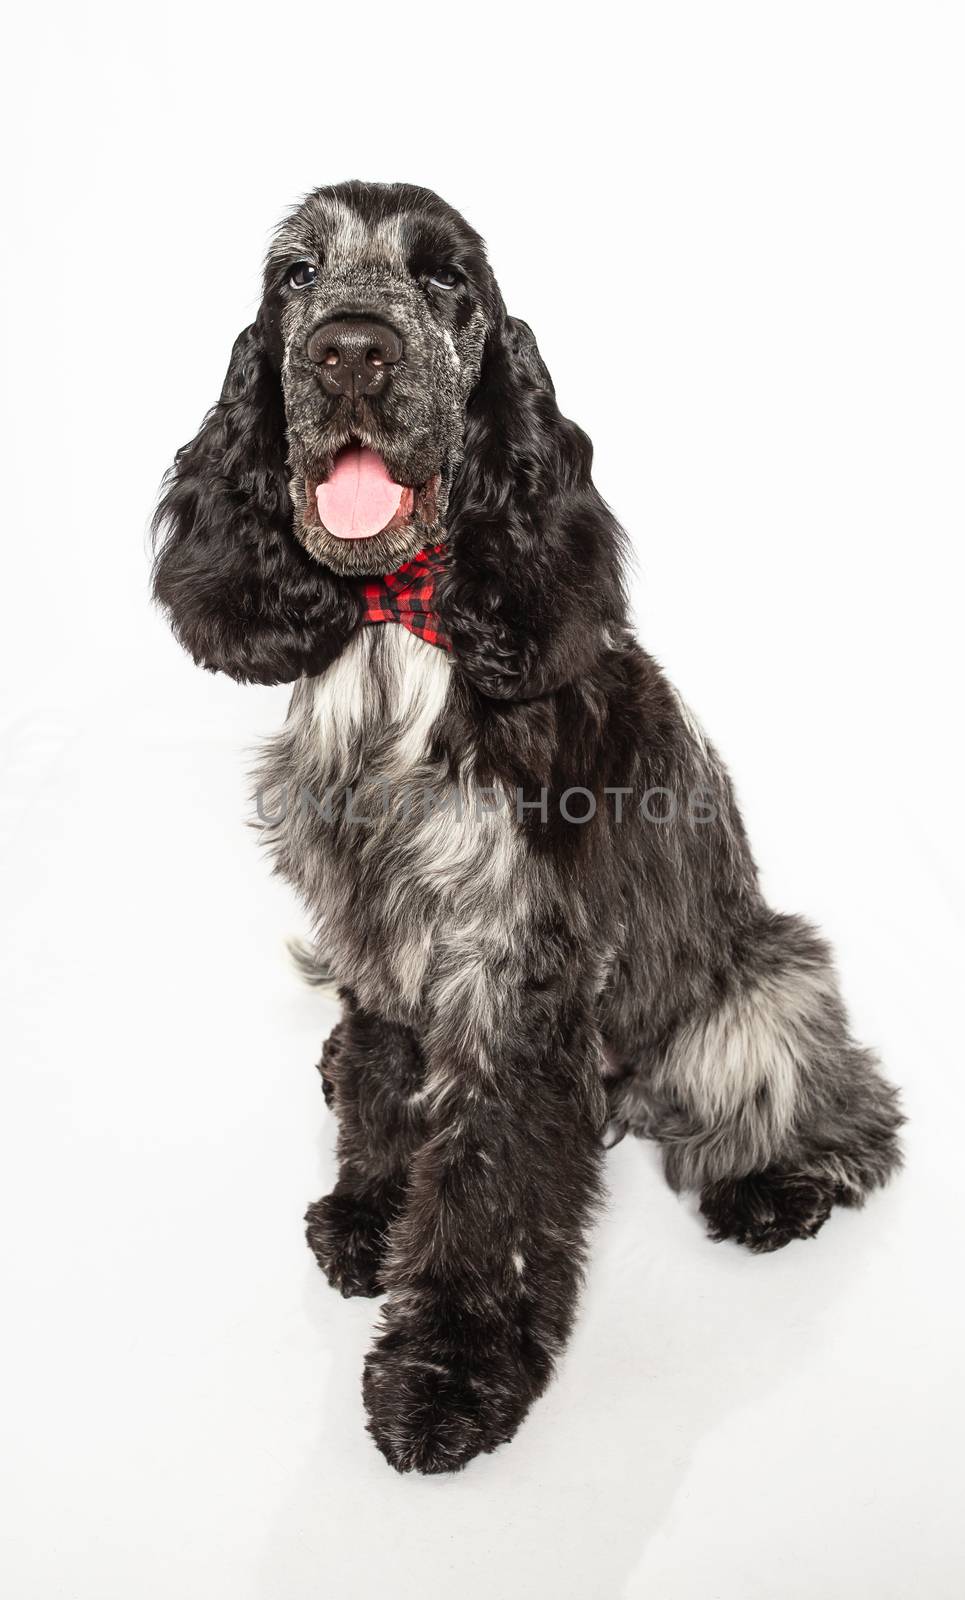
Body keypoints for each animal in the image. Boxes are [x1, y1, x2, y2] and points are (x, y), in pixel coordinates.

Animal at [152, 184, 908, 1472]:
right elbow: (382, 1085)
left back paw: (775, 1186)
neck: (399, 633)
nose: (351, 350)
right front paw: (367, 1213)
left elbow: (485, 1187)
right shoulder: (374, 938)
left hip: (759, 988)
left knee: (835, 1101)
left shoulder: (510, 975)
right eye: (297, 274)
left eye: (445, 279)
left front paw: (450, 1378)